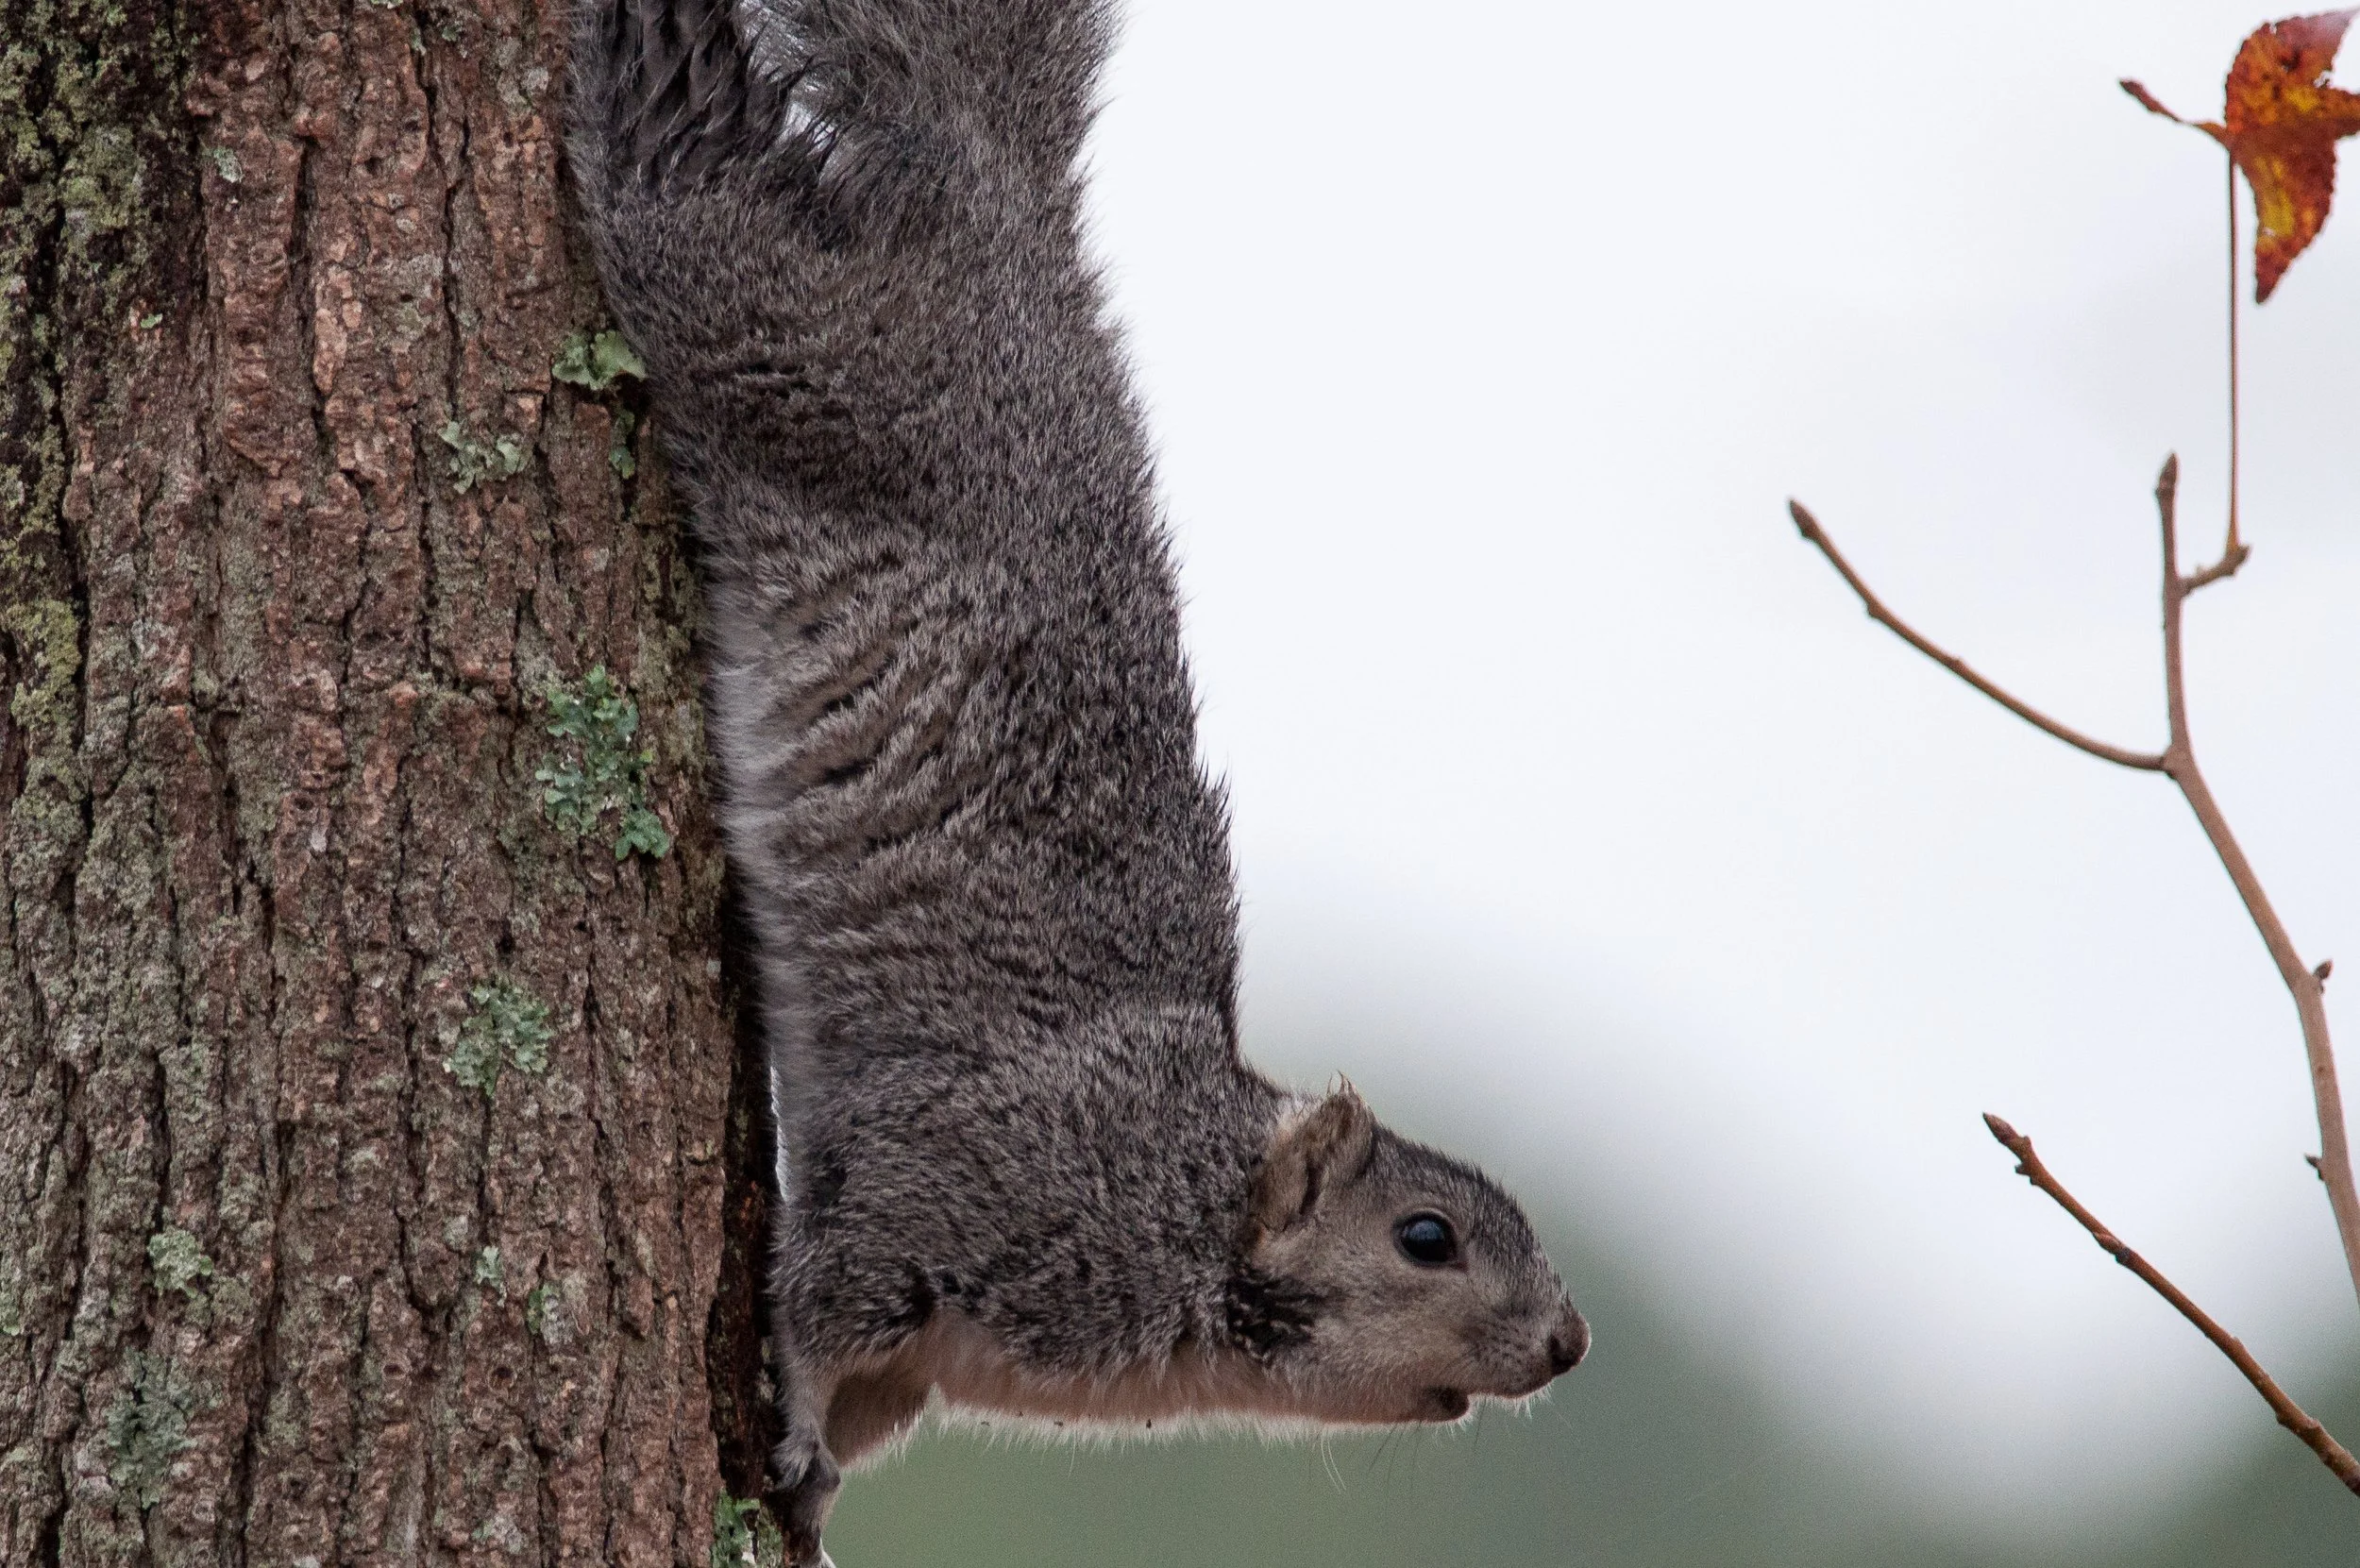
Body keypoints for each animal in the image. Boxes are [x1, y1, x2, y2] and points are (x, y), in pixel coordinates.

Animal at [567, 0, 1588, 1560]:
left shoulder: (930, 1352)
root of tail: (1008, 215)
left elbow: (860, 1404)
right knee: (696, 212)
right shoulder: (949, 1199)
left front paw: (819, 1489)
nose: (1573, 1340)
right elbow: (815, 1308)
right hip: (806, 349)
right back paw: (657, 75)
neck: (1185, 1201)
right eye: (1428, 1237)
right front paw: (787, 1428)